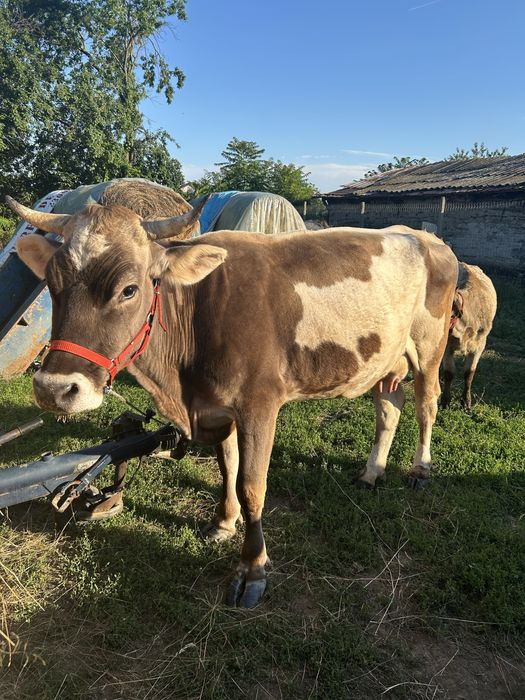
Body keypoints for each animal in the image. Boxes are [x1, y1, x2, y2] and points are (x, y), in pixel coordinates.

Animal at [7, 196, 458, 608]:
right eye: (52, 285)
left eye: (128, 289)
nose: (54, 388)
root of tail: (425, 237)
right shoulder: (217, 407)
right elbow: (228, 469)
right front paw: (223, 522)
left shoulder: (259, 404)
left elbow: (252, 485)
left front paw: (252, 568)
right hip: (386, 358)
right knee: (389, 408)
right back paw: (372, 472)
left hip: (429, 348)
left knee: (426, 405)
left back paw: (420, 468)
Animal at [441, 262, 497, 410]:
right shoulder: (447, 346)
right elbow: (449, 373)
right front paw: (445, 400)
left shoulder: (480, 345)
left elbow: (469, 373)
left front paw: (466, 402)